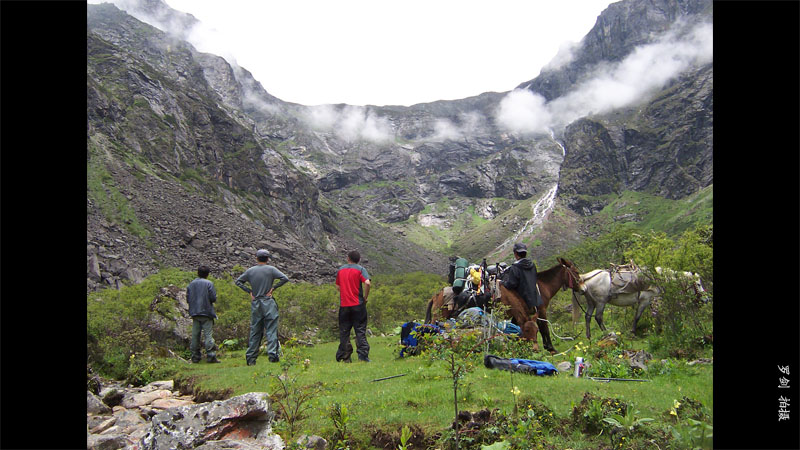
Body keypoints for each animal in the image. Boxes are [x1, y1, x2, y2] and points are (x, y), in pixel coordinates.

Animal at [424, 258, 580, 354]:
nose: (581, 286)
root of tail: (436, 295)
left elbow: (522, 328)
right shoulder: (540, 310)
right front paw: (551, 349)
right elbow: (545, 329)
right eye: (576, 272)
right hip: (439, 317)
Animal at [572, 268, 708, 338]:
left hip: (591, 303)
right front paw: (633, 332)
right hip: (601, 302)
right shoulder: (645, 300)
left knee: (588, 317)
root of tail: (585, 278)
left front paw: (659, 329)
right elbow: (638, 317)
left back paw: (588, 336)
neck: (659, 278)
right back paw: (608, 333)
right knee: (598, 317)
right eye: (698, 284)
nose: (706, 299)